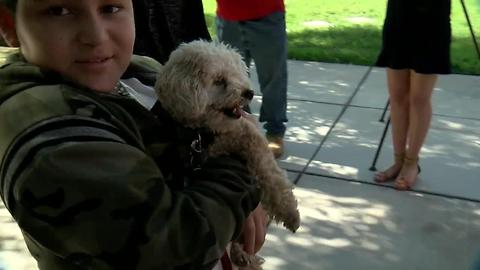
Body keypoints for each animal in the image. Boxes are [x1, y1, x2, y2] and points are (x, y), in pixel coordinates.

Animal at [156, 40, 300, 270]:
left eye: (236, 74)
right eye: (219, 81)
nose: (249, 92)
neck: (204, 134)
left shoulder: (249, 136)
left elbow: (271, 175)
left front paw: (291, 214)